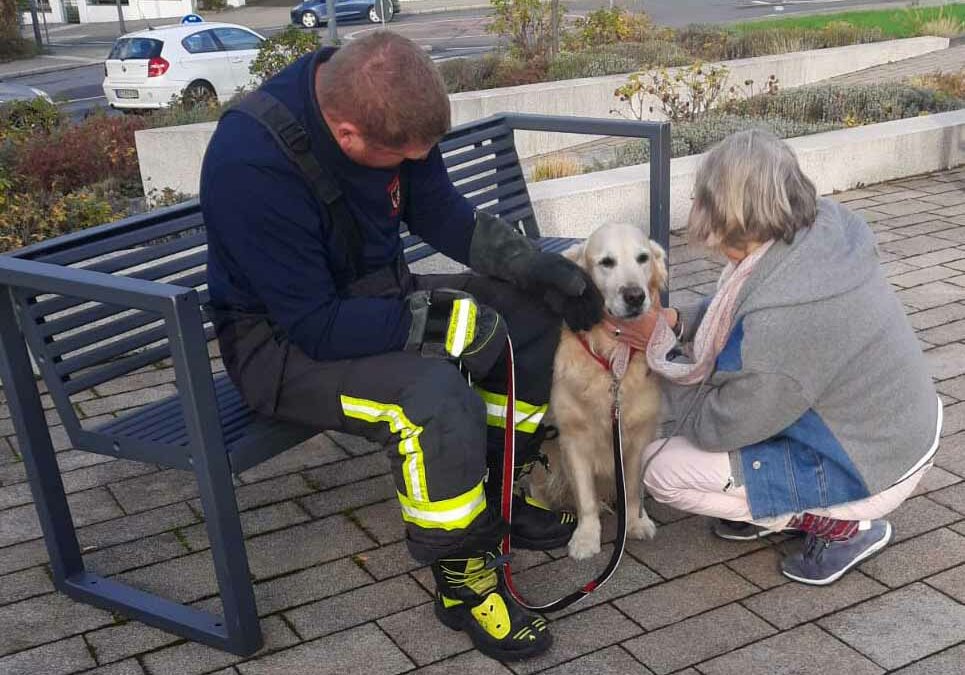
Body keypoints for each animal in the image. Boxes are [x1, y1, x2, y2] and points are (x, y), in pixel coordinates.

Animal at [532, 222, 668, 560]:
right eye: (606, 262)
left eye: (643, 258)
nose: (635, 296)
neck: (611, 359)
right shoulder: (573, 437)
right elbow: (585, 496)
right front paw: (586, 538)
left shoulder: (639, 433)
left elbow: (631, 486)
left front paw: (635, 522)